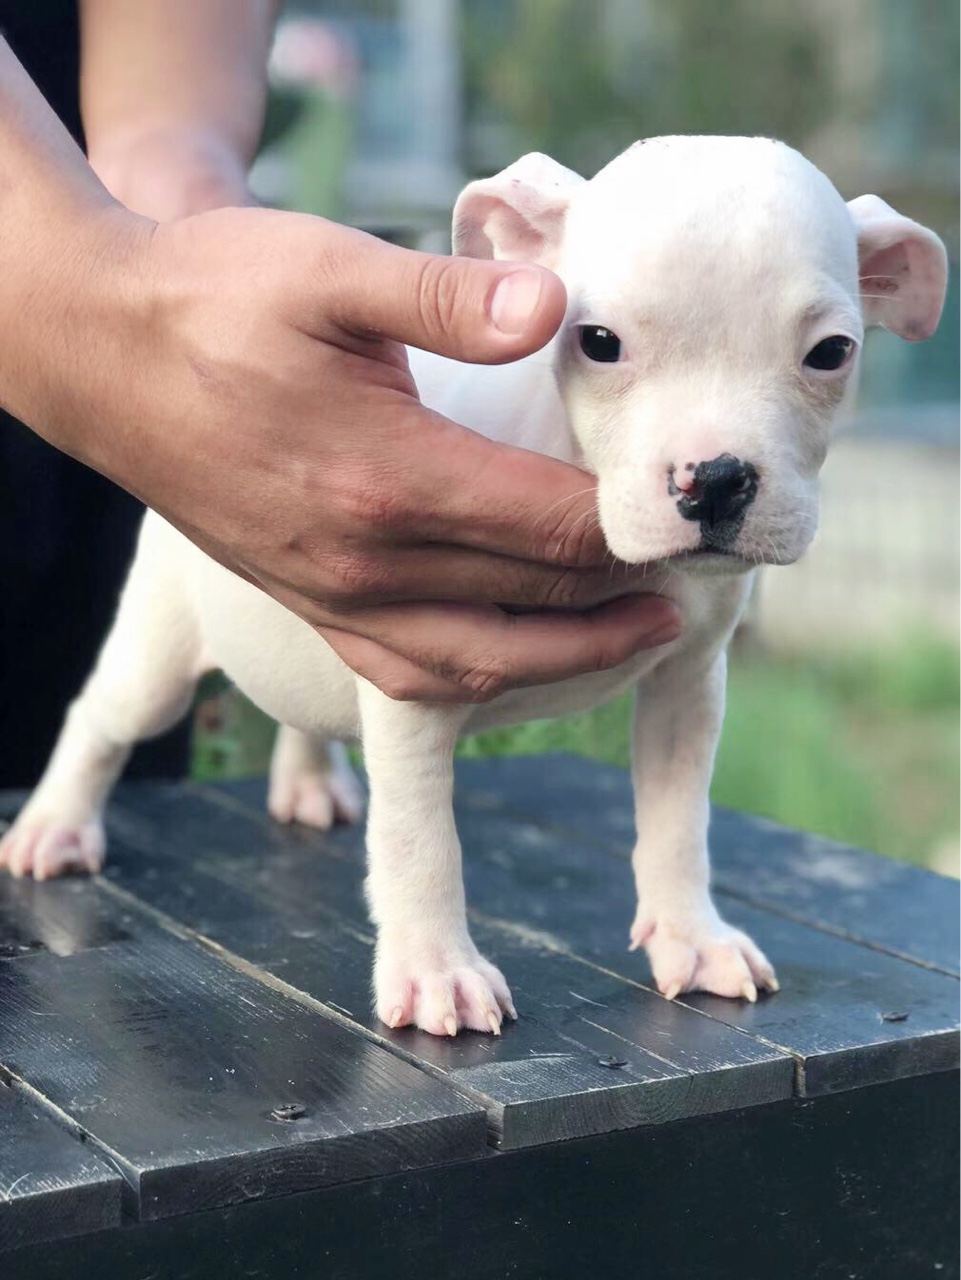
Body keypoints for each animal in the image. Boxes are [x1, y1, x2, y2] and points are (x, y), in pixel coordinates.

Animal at [1, 137, 946, 1039]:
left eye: (830, 354)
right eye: (598, 343)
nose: (713, 480)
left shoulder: (686, 687)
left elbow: (680, 821)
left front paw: (692, 935)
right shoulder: (413, 685)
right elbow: (422, 845)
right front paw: (437, 973)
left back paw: (308, 781)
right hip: (158, 654)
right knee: (101, 718)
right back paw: (55, 826)